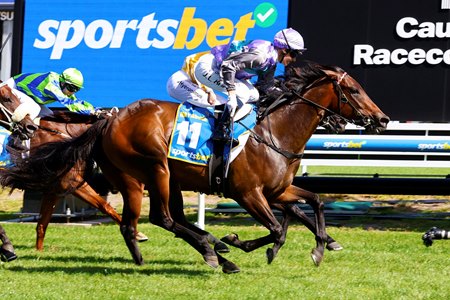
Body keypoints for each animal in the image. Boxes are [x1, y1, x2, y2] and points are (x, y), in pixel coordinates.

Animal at [0, 64, 388, 274]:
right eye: (354, 90)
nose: (382, 119)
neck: (273, 133)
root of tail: (110, 120)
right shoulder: (247, 193)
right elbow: (278, 230)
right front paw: (244, 243)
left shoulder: (277, 190)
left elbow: (316, 202)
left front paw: (321, 246)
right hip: (151, 170)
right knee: (159, 218)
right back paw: (210, 251)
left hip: (160, 177)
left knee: (155, 221)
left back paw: (205, 249)